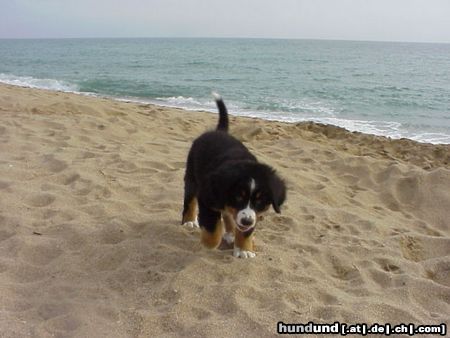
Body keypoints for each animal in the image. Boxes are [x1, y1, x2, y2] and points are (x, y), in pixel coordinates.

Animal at [181, 93, 286, 258]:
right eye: (238, 196)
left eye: (260, 200)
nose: (246, 221)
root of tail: (219, 131)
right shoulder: (206, 197)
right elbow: (212, 226)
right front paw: (209, 242)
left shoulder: (253, 214)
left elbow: (245, 231)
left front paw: (244, 249)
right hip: (192, 176)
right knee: (190, 200)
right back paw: (189, 221)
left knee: (227, 214)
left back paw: (230, 233)